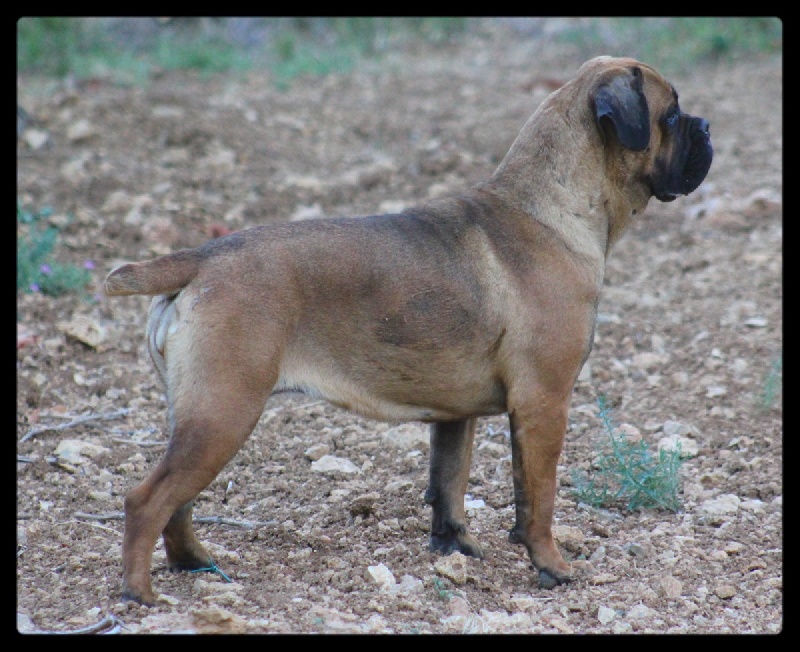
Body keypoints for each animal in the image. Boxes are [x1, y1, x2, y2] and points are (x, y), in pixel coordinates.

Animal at [104, 56, 712, 605]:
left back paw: (193, 563)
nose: (706, 127)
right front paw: (551, 566)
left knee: (178, 502)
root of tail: (203, 258)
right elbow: (537, 499)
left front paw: (455, 551)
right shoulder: (544, 404)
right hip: (223, 415)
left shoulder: (456, 416)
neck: (548, 208)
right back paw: (140, 594)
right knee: (146, 500)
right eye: (671, 113)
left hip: (197, 419)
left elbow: (449, 485)